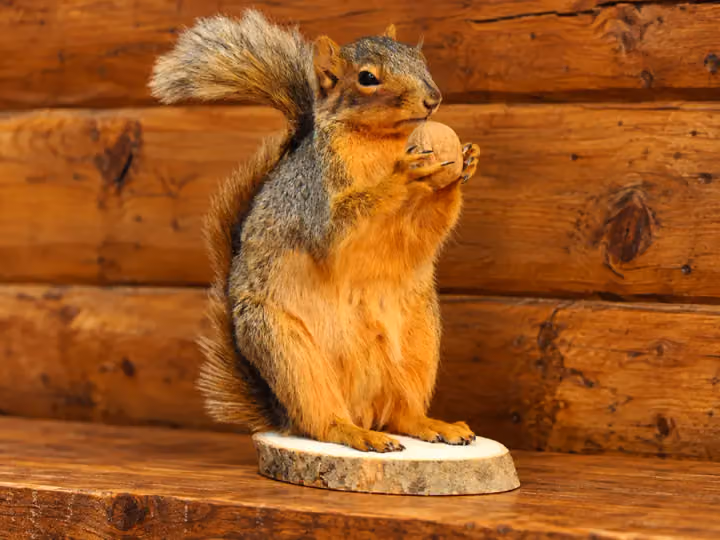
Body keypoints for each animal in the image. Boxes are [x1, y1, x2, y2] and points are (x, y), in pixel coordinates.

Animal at [149, 10, 480, 452]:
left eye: (419, 58)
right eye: (367, 78)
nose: (434, 98)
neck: (380, 142)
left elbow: (426, 230)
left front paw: (465, 163)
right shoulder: (316, 198)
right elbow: (338, 234)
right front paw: (403, 176)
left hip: (419, 341)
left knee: (400, 414)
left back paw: (432, 425)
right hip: (290, 354)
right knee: (323, 422)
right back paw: (358, 434)